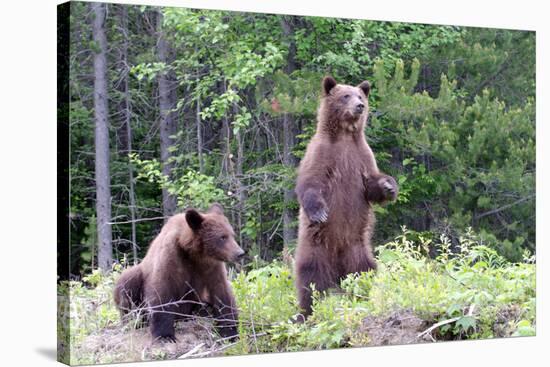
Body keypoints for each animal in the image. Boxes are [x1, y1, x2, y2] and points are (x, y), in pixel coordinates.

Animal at [113, 204, 245, 342]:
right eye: (222, 237)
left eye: (232, 234)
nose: (240, 253)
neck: (194, 254)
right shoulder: (170, 258)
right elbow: (162, 292)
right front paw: (165, 335)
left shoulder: (211, 267)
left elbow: (221, 292)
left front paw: (230, 331)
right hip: (137, 278)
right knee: (127, 284)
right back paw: (136, 319)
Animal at [296, 75, 398, 320]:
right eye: (345, 96)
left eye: (360, 95)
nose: (359, 106)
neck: (344, 135)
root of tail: (337, 270)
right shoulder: (322, 154)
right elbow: (310, 183)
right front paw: (320, 211)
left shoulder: (362, 156)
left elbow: (371, 185)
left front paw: (389, 186)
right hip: (316, 248)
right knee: (310, 278)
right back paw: (305, 313)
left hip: (357, 249)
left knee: (365, 270)